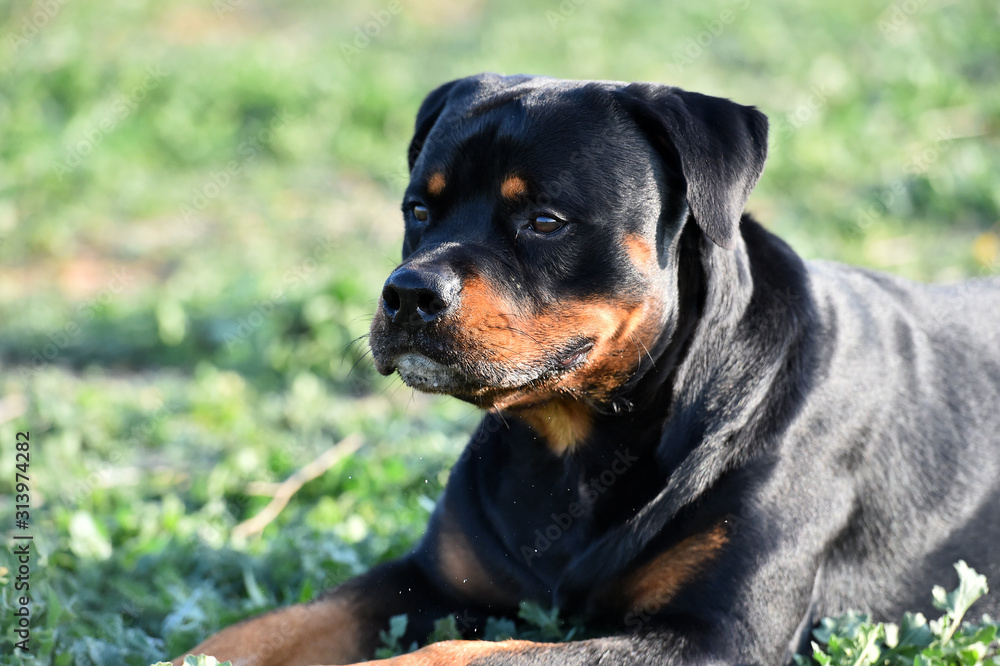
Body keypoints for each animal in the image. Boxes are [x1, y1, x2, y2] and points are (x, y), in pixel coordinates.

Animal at [176, 74, 1000, 664]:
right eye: (418, 210)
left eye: (545, 221)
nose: (408, 292)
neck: (572, 447)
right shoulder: (431, 578)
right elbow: (273, 625)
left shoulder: (712, 637)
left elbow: (464, 655)